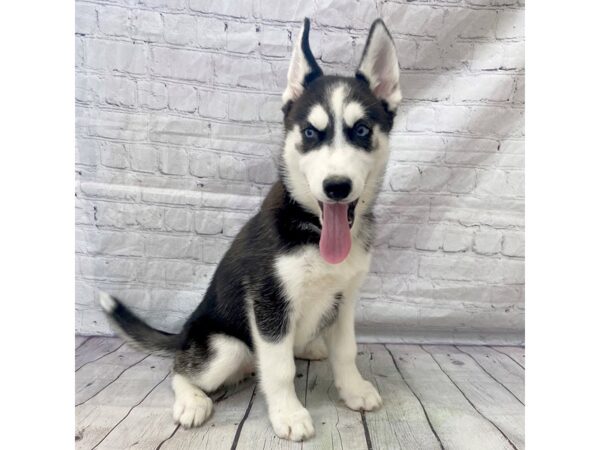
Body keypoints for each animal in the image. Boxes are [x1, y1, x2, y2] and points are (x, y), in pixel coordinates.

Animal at [101, 18, 400, 442]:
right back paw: (192, 400)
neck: (312, 229)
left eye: (361, 130)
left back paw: (309, 347)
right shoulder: (269, 304)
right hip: (225, 348)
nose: (336, 187)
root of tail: (185, 333)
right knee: (180, 370)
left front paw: (354, 389)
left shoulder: (345, 299)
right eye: (310, 133)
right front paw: (288, 413)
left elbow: (345, 350)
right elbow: (278, 369)